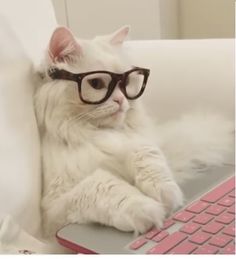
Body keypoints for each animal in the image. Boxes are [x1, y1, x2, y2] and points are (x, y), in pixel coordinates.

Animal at [34, 25, 233, 238]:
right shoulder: (53, 210)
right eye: (96, 84)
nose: (121, 100)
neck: (98, 134)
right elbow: (101, 185)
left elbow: (147, 157)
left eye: (125, 83)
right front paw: (149, 211)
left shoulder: (138, 142)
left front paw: (166, 194)